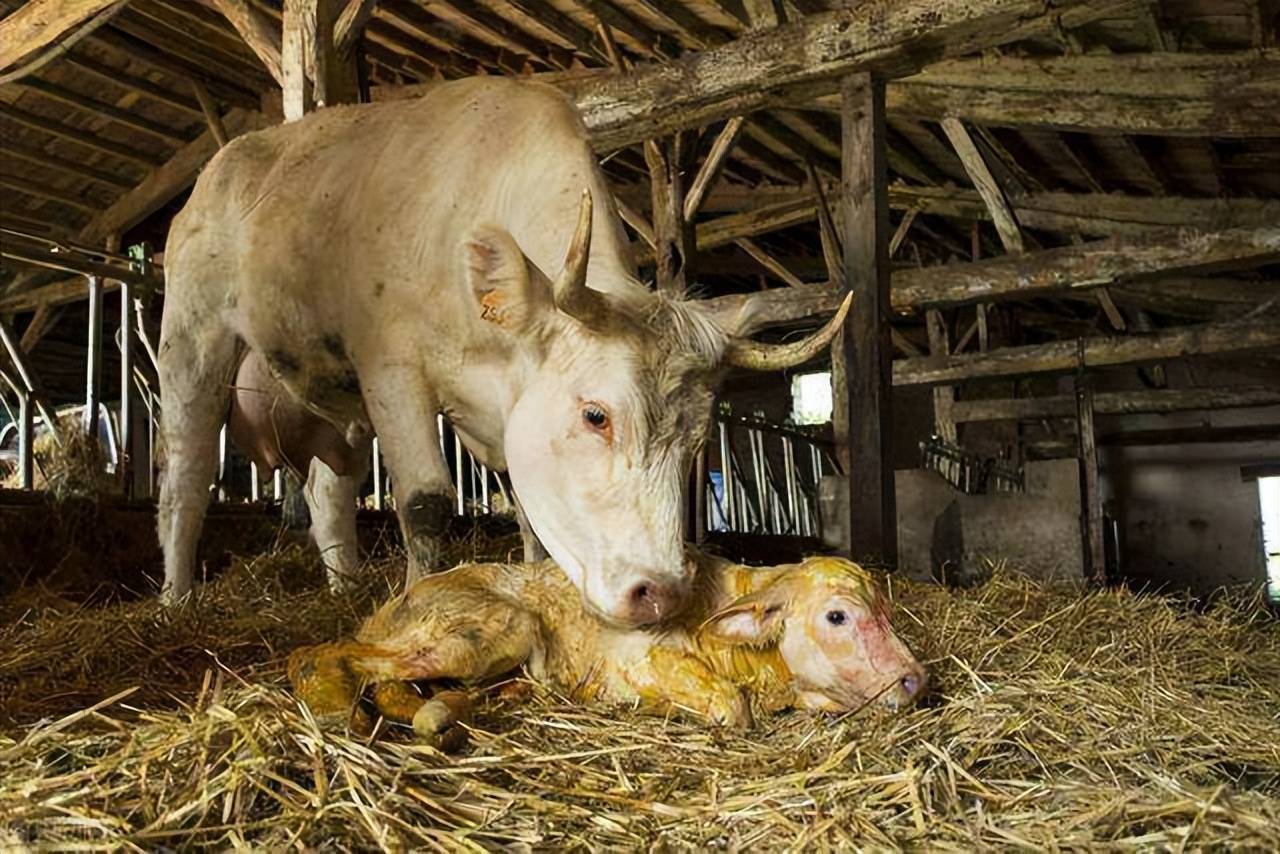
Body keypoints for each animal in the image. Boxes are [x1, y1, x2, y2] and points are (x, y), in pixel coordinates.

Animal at [157, 78, 849, 627]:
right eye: (596, 415)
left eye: (696, 439)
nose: (661, 592)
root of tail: (230, 159)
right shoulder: (390, 369)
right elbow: (426, 502)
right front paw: (416, 605)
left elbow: (530, 520)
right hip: (193, 335)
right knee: (186, 476)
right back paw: (174, 599)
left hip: (336, 404)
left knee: (330, 495)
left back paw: (346, 590)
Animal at [290, 550, 931, 737]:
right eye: (837, 616)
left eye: (885, 611)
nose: (915, 679)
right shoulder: (649, 658)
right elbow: (732, 707)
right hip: (492, 628)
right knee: (324, 656)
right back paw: (340, 708)